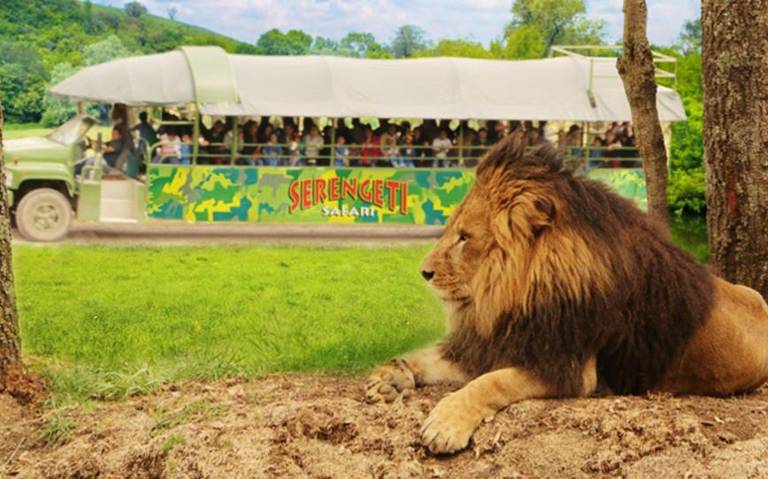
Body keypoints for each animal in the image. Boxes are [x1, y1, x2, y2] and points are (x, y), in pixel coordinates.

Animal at [364, 133, 768, 456]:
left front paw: (446, 423)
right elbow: (427, 357)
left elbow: (490, 382)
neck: (516, 293)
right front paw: (390, 378)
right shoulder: (495, 340)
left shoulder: (567, 366)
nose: (424, 272)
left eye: (465, 237)